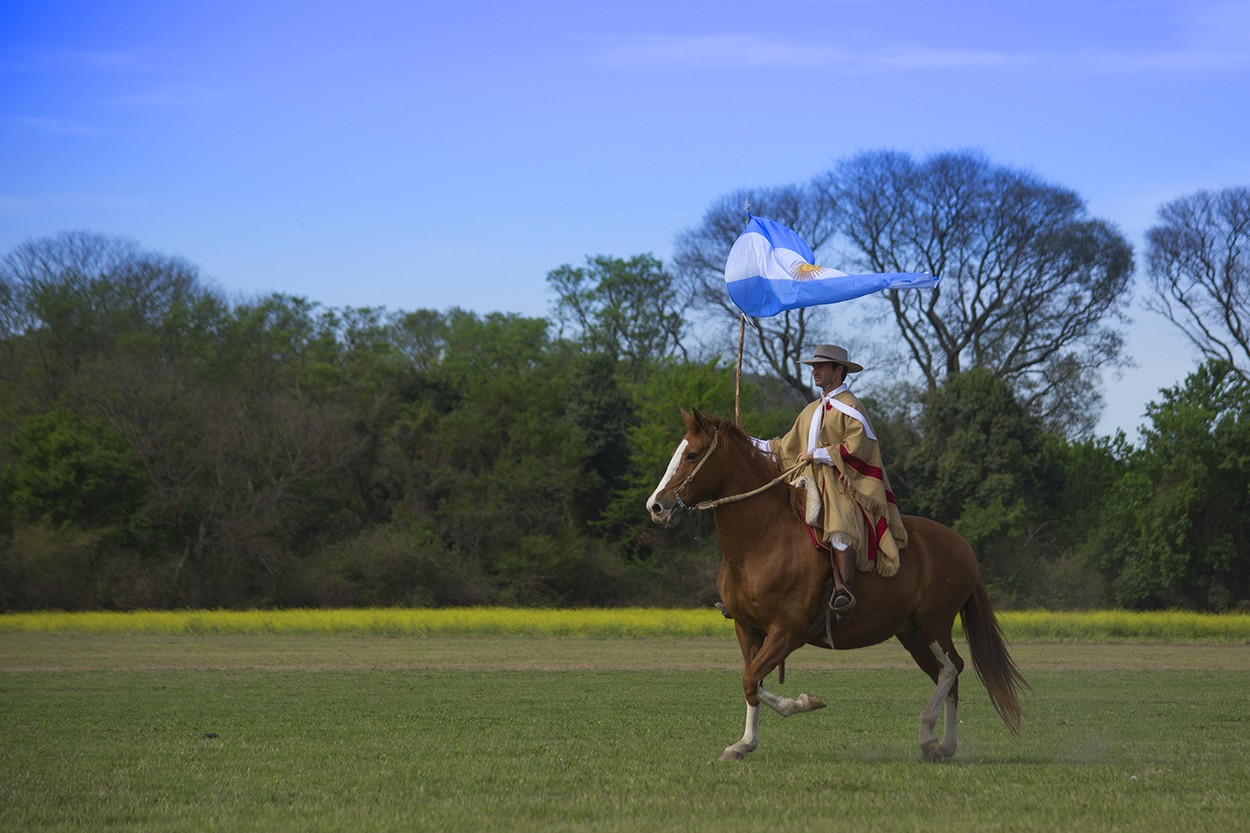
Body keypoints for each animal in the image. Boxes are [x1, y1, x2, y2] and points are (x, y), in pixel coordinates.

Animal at [645, 407, 1025, 760]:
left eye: (693, 455)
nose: (656, 506)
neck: (763, 540)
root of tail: (964, 548)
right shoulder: (747, 629)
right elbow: (752, 682)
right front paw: (744, 743)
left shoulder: (787, 632)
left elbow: (752, 680)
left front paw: (804, 702)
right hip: (913, 634)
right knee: (947, 675)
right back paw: (940, 744)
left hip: (935, 626)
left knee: (951, 669)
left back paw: (934, 737)